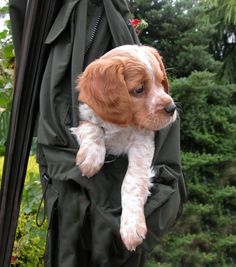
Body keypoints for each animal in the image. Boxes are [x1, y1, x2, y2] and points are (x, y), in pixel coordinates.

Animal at [71, 45, 176, 252]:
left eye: (161, 83)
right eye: (139, 89)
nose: (172, 108)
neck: (122, 125)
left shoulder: (143, 142)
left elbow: (132, 182)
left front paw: (131, 226)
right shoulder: (85, 117)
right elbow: (93, 128)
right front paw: (91, 158)